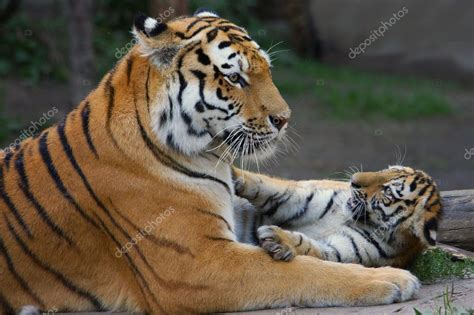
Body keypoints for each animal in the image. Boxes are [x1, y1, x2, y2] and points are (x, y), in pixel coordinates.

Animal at [2, 10, 418, 315]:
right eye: (234, 78)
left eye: (266, 69)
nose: (284, 119)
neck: (209, 154)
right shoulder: (195, 265)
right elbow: (299, 270)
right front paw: (391, 279)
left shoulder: (241, 211)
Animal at [235, 167, 442, 268]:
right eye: (387, 169)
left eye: (387, 191)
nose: (353, 180)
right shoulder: (305, 199)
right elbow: (273, 188)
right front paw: (234, 173)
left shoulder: (338, 251)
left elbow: (309, 246)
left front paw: (278, 239)